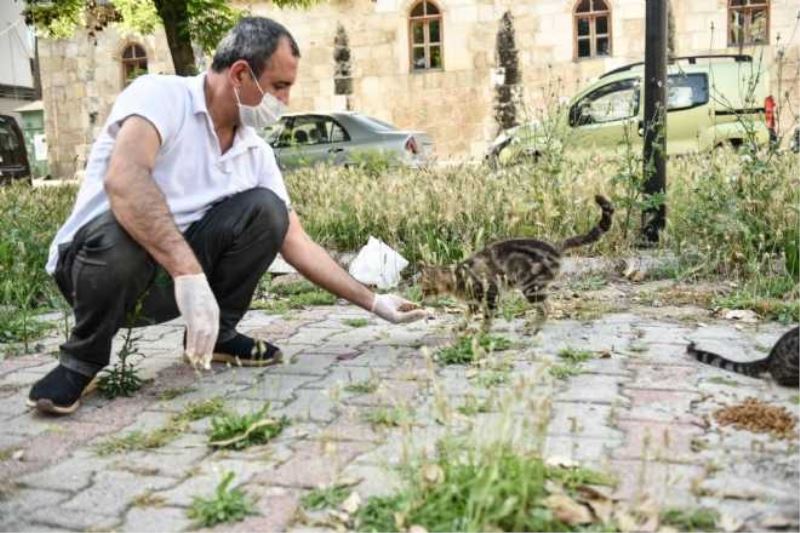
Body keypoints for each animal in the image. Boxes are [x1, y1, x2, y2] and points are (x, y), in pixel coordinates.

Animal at [418, 193, 612, 330]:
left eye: (425, 289)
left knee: (547, 308)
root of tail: (555, 246)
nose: (420, 300)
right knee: (547, 306)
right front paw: (461, 326)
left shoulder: (490, 294)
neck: (457, 276)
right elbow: (467, 314)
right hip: (535, 288)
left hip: (530, 286)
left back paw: (533, 328)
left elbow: (486, 317)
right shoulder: (473, 301)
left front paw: (482, 333)